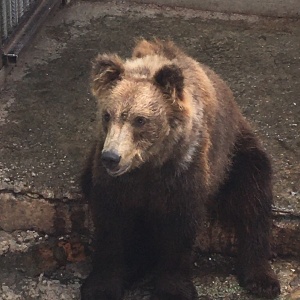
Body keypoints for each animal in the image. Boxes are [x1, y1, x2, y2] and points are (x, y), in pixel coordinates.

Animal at [80, 39, 282, 300]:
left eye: (140, 120)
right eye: (107, 115)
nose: (112, 158)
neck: (149, 165)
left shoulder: (183, 172)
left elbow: (179, 228)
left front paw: (173, 288)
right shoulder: (114, 182)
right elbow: (110, 224)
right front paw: (102, 285)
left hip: (237, 155)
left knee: (253, 196)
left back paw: (261, 279)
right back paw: (135, 267)